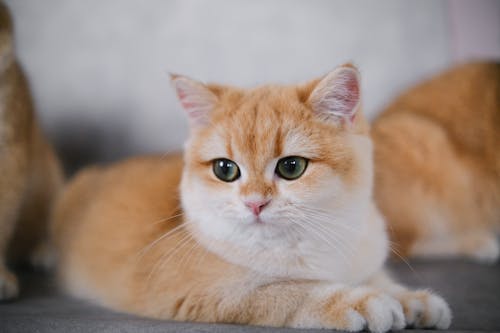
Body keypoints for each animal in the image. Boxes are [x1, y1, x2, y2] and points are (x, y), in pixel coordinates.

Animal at [52, 63, 452, 330]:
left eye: (291, 167)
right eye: (225, 170)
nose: (255, 203)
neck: (311, 242)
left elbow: (377, 278)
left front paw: (410, 299)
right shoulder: (205, 290)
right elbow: (288, 291)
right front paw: (359, 301)